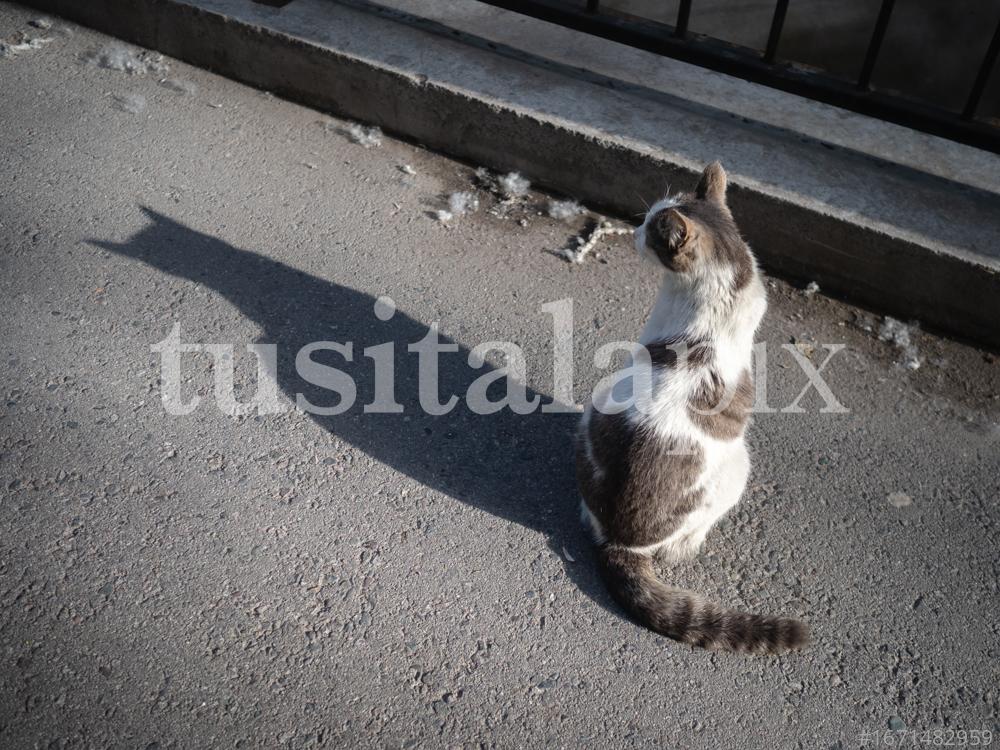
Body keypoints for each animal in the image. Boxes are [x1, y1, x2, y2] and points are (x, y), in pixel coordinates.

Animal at [576, 162, 808, 656]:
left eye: (651, 228)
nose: (634, 231)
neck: (727, 277)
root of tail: (621, 541)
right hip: (740, 468)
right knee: (685, 541)